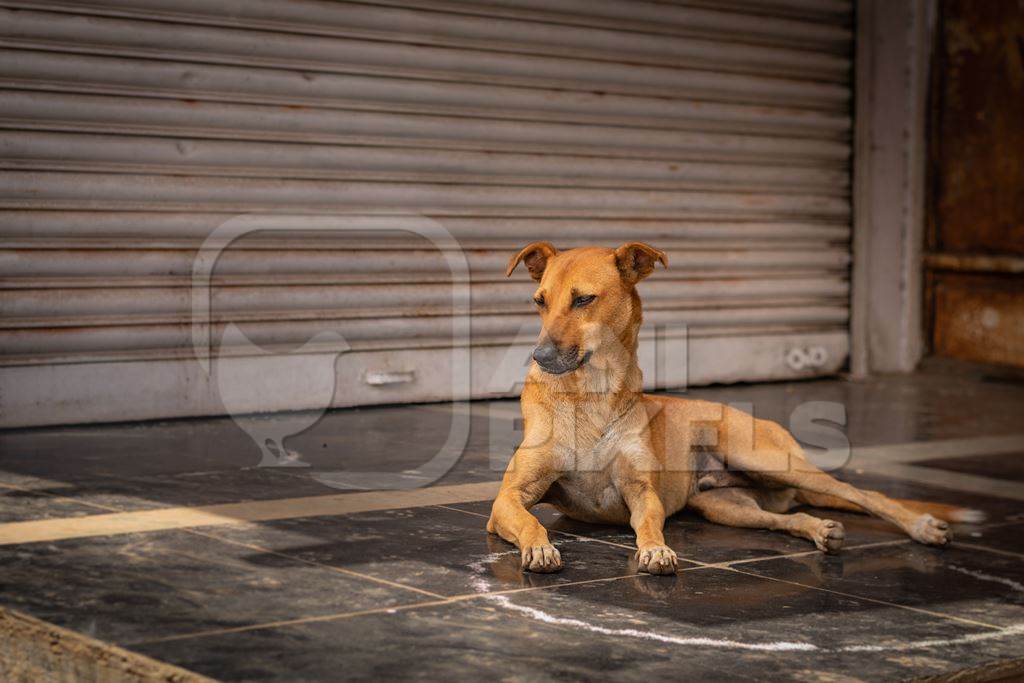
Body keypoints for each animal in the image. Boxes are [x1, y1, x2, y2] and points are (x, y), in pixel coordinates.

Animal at [483, 242, 978, 573]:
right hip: (728, 506)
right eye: (539, 301)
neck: (591, 394)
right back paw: (819, 530)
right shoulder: (507, 499)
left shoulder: (642, 493)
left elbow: (650, 525)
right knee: (784, 518)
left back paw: (923, 528)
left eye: (584, 299)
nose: (540, 357)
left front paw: (655, 549)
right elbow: (530, 520)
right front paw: (539, 547)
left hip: (769, 459)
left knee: (866, 495)